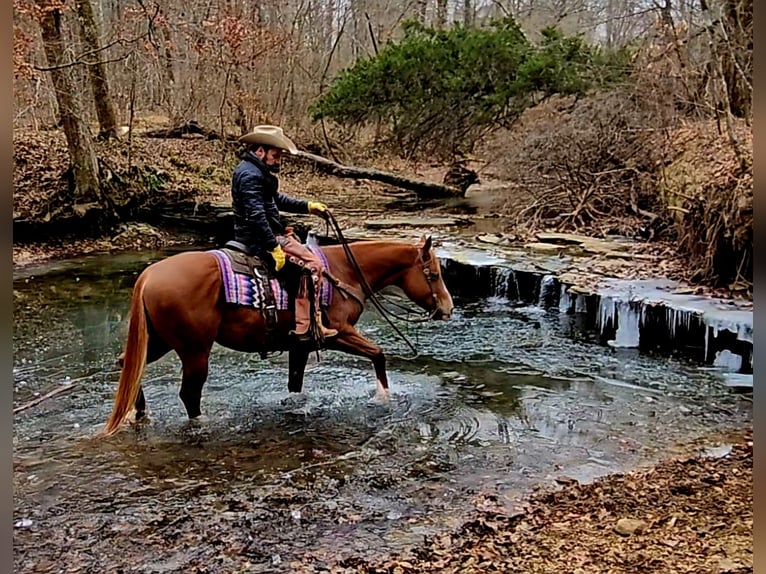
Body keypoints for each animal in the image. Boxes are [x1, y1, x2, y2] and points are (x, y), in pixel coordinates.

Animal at [102, 235, 454, 435]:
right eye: (434, 275)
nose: (448, 309)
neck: (344, 272)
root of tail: (148, 276)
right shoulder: (338, 334)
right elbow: (378, 354)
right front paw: (382, 396)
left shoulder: (301, 346)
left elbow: (295, 384)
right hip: (194, 350)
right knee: (189, 394)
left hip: (159, 340)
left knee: (126, 364)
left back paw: (139, 413)